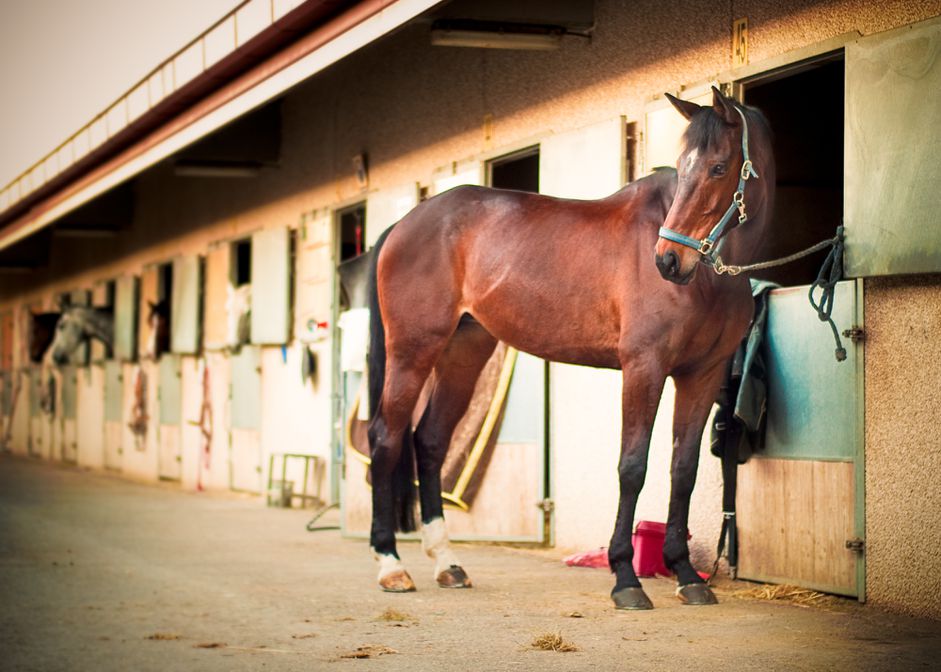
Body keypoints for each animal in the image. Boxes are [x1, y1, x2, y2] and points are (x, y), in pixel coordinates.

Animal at [366, 88, 772, 608]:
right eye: (683, 167)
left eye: (719, 167)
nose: (667, 260)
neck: (709, 280)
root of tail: (404, 224)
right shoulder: (644, 367)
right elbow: (632, 467)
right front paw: (625, 579)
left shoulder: (703, 374)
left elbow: (683, 470)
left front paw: (685, 575)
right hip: (413, 350)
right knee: (386, 437)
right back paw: (390, 565)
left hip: (464, 353)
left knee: (430, 441)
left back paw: (447, 563)